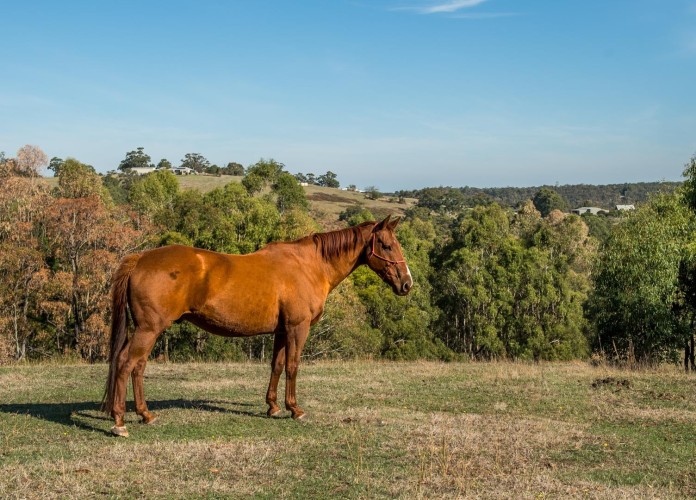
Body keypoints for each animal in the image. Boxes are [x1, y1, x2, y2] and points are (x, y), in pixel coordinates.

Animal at [100, 215, 410, 438]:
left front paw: (273, 406)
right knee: (127, 363)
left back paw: (145, 414)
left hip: (147, 330)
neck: (309, 266)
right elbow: (293, 366)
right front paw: (295, 409)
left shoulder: (282, 331)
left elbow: (277, 365)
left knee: (136, 366)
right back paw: (119, 421)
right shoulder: (298, 328)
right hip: (148, 329)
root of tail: (140, 258)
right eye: (386, 245)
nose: (407, 283)